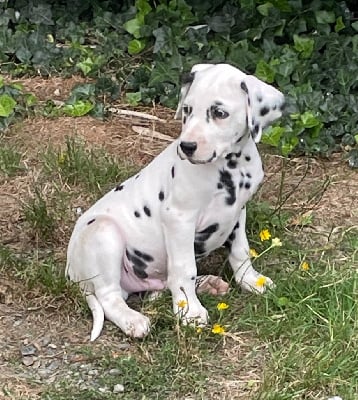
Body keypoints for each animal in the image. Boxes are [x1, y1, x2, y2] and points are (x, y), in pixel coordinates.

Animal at [65, 63, 286, 340]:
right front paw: (190, 313)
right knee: (110, 296)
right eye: (188, 109)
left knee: (160, 286)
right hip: (103, 233)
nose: (187, 146)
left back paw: (207, 284)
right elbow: (184, 268)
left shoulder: (238, 212)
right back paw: (133, 320)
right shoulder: (179, 219)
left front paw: (251, 280)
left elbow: (240, 251)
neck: (231, 167)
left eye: (219, 113)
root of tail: (70, 270)